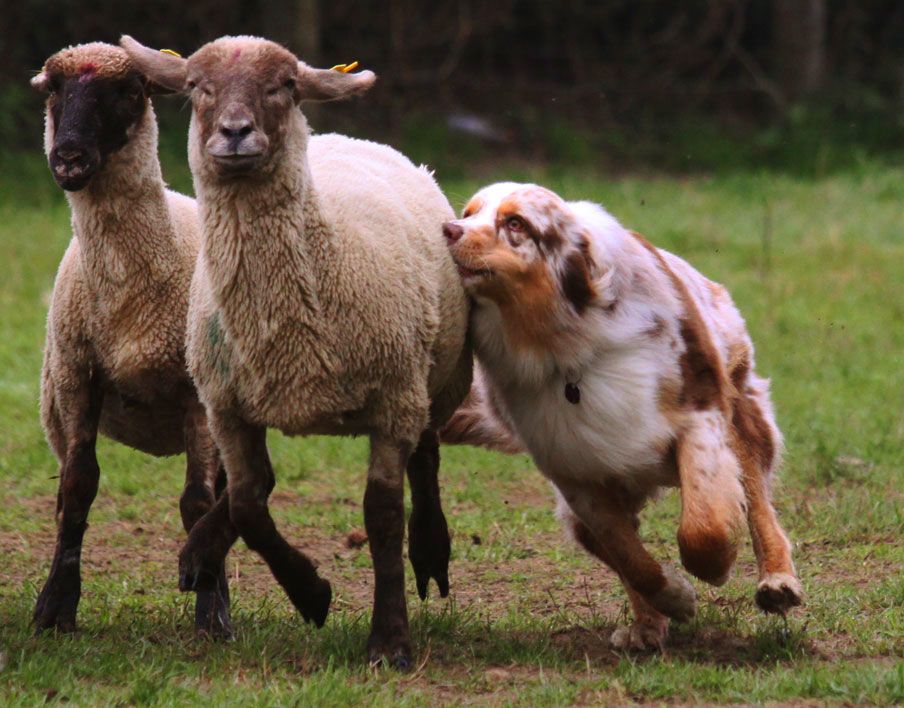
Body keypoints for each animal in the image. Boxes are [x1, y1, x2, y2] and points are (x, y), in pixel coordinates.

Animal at [122, 34, 474, 668]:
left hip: (436, 374)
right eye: (196, 86)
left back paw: (431, 552)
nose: (235, 131)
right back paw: (200, 554)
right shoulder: (226, 407)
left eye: (284, 85)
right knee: (257, 487)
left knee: (427, 456)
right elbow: (246, 504)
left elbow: (383, 516)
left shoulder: (393, 401)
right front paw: (311, 592)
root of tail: (343, 138)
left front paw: (389, 641)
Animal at [442, 184, 800, 652]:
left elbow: (702, 525)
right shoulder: (573, 471)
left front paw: (716, 567)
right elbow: (630, 556)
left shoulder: (698, 414)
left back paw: (777, 582)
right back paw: (648, 626)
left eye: (516, 223)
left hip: (741, 415)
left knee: (758, 503)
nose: (449, 229)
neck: (562, 346)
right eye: (467, 213)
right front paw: (676, 597)